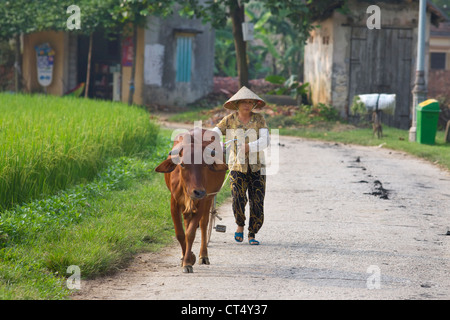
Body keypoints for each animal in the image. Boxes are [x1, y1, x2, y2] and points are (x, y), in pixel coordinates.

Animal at [155, 127, 227, 272]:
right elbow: (180, 234)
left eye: (205, 164)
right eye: (182, 165)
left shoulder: (202, 202)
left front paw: (189, 261)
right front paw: (185, 258)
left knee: (204, 225)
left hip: (208, 199)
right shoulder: (174, 203)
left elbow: (191, 233)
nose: (198, 192)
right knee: (187, 222)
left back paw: (203, 255)